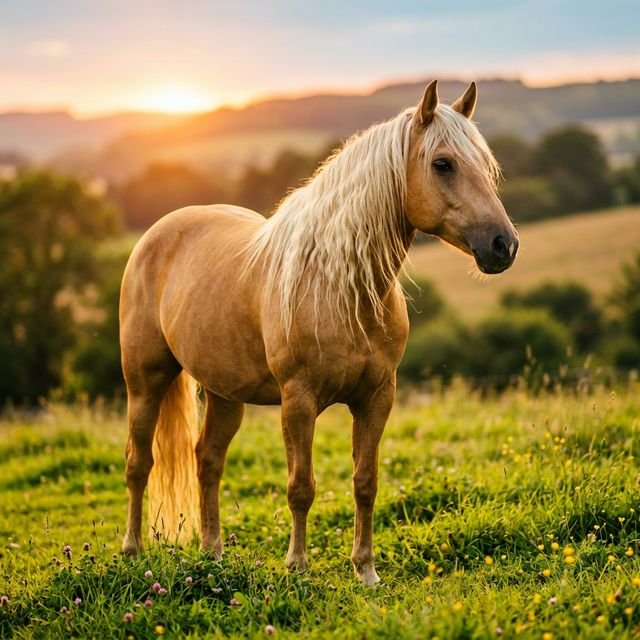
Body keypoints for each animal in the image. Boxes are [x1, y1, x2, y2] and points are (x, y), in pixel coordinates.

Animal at [119, 80, 518, 586]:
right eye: (442, 163)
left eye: (486, 165)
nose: (504, 245)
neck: (342, 286)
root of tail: (157, 234)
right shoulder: (299, 400)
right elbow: (301, 486)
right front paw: (298, 566)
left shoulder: (377, 398)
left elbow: (365, 482)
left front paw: (366, 571)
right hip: (145, 383)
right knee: (139, 463)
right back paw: (132, 551)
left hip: (226, 394)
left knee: (207, 461)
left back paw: (212, 555)